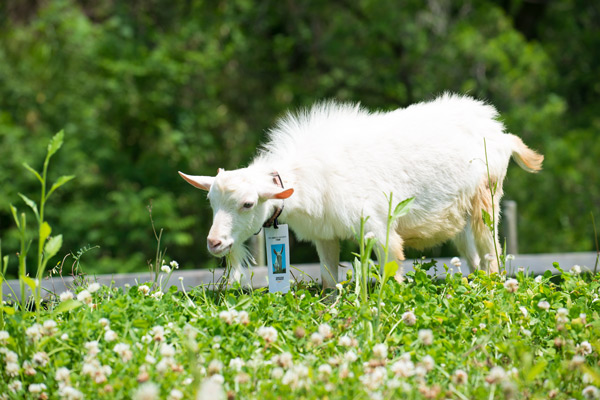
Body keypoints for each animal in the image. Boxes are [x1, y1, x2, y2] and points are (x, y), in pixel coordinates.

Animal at [178, 94, 544, 288]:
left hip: (487, 200)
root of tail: (500, 133)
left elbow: (392, 275)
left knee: (493, 255)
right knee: (475, 258)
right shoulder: (325, 235)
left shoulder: (379, 230)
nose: (215, 243)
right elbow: (328, 281)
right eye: (211, 202)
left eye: (247, 203)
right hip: (461, 217)